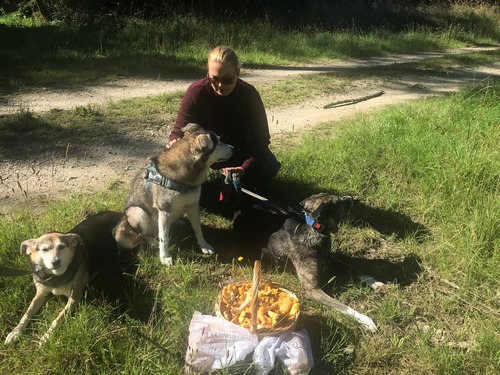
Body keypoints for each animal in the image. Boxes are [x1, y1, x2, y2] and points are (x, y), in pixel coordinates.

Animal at [4, 212, 141, 346]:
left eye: (62, 247)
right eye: (44, 249)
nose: (56, 262)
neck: (55, 276)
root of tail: (122, 213)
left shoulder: (74, 298)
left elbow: (57, 319)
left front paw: (46, 337)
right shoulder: (41, 293)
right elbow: (27, 313)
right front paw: (15, 332)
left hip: (120, 235)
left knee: (139, 239)